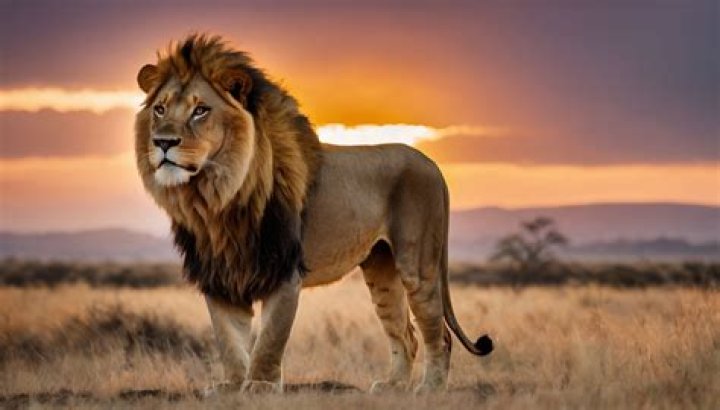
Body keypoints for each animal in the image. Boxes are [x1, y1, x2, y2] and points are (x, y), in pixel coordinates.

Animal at [135, 34, 493, 394]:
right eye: (160, 108)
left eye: (200, 110)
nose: (163, 141)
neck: (216, 198)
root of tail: (432, 164)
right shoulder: (219, 275)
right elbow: (229, 339)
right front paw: (232, 386)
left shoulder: (284, 269)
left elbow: (270, 337)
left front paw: (260, 385)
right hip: (381, 267)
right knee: (405, 333)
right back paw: (393, 386)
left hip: (417, 264)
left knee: (440, 334)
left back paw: (429, 388)